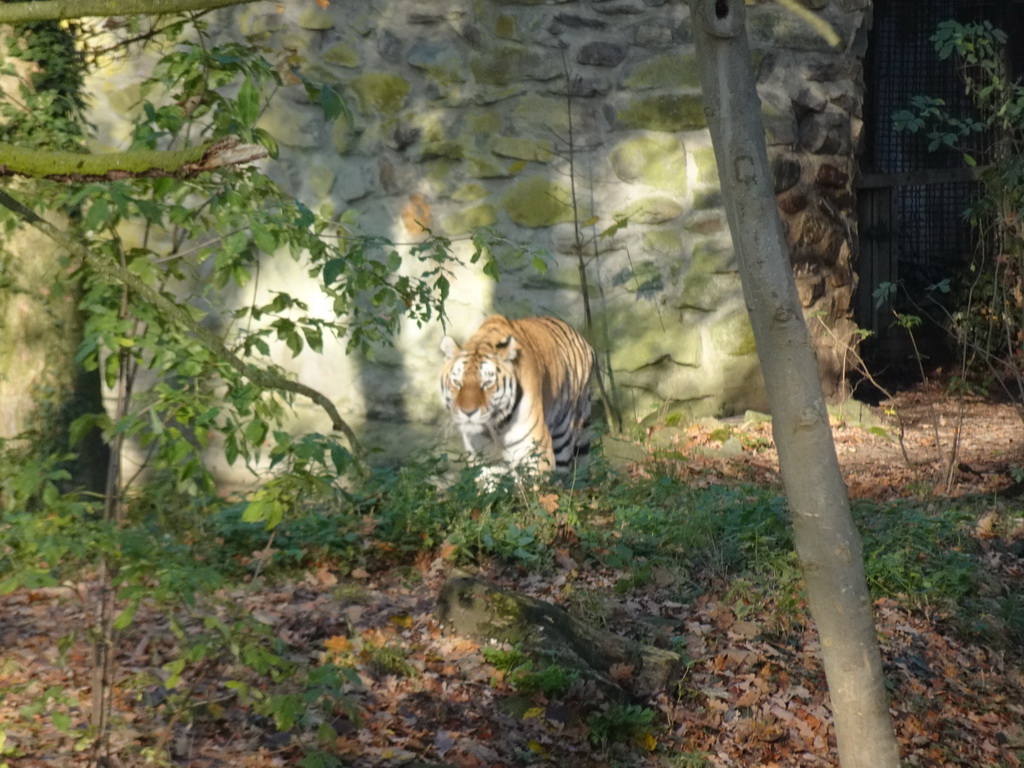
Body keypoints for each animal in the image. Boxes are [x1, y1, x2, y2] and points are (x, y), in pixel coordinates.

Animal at [438, 315, 598, 479]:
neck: (494, 429)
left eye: (487, 384)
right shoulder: (482, 460)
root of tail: (581, 338)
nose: (468, 412)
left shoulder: (535, 452)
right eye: (457, 383)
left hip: (565, 436)